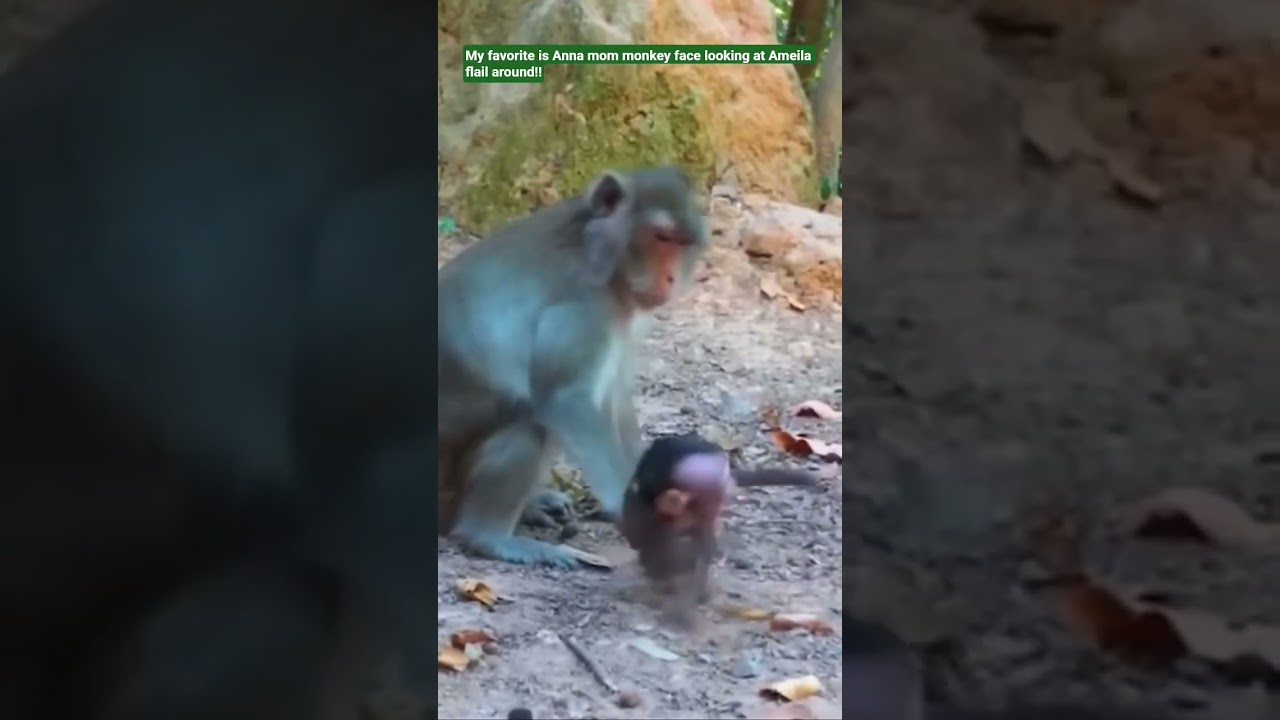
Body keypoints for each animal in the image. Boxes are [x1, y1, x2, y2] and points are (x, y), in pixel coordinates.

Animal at [437, 166, 707, 568]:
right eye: (661, 238)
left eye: (682, 244)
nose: (672, 279)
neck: (596, 254)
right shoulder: (581, 307)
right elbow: (568, 400)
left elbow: (614, 396)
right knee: (530, 418)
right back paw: (488, 537)